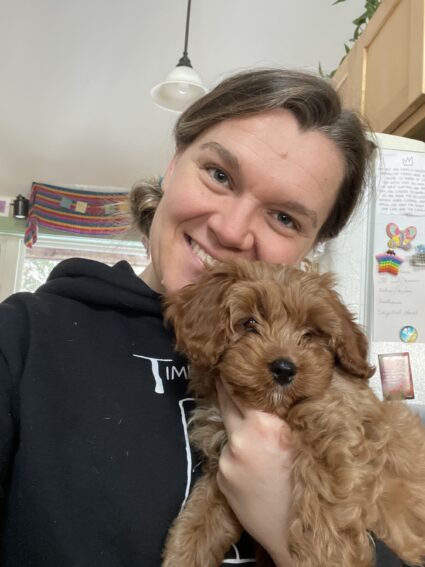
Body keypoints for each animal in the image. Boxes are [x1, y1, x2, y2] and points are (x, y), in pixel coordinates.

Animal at [161, 260, 424, 567]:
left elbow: (324, 502)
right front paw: (183, 554)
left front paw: (326, 556)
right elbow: (203, 514)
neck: (277, 410)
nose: (284, 369)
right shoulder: (222, 469)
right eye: (249, 323)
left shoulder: (336, 430)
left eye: (309, 334)